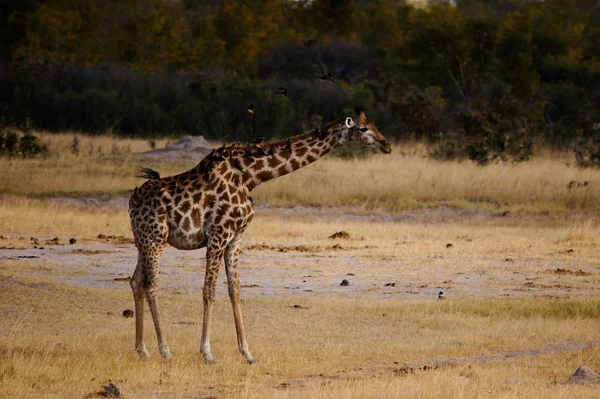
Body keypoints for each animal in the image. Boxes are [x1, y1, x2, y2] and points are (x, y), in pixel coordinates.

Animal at [128, 108, 392, 364]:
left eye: (375, 125)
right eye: (363, 128)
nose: (386, 144)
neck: (250, 177)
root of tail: (131, 202)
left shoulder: (235, 238)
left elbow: (235, 290)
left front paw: (246, 352)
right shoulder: (218, 234)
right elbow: (209, 291)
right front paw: (207, 352)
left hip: (142, 241)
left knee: (136, 282)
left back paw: (142, 350)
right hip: (156, 239)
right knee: (151, 285)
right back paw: (164, 350)